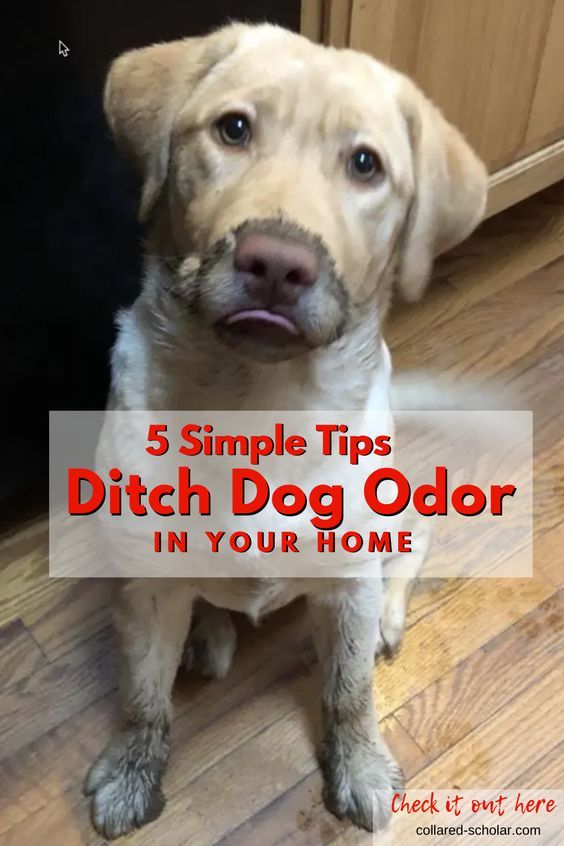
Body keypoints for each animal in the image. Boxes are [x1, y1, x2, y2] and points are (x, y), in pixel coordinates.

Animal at [86, 21, 486, 840]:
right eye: (233, 129)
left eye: (365, 164)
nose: (277, 263)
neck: (254, 404)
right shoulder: (143, 578)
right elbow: (141, 696)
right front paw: (132, 771)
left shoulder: (347, 575)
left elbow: (348, 692)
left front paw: (360, 765)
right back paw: (206, 633)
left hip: (394, 519)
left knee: (409, 551)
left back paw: (386, 619)